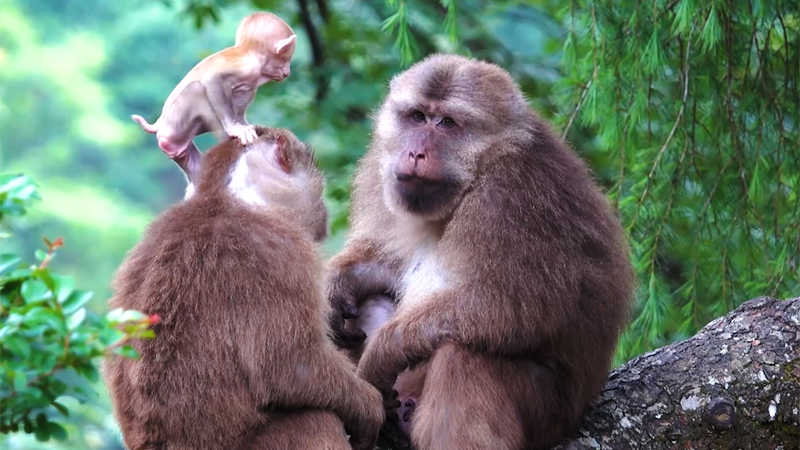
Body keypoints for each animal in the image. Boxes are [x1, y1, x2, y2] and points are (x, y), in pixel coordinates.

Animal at [103, 125, 384, 450]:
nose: (324, 211)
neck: (222, 199)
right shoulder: (278, 251)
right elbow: (290, 366)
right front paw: (369, 409)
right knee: (315, 419)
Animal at [131, 12, 296, 185]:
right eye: (288, 57)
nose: (288, 71)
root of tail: (160, 123)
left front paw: (246, 125)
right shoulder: (246, 68)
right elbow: (213, 80)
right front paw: (237, 129)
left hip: (176, 144)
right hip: (176, 125)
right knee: (197, 90)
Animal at [326, 53, 636, 450]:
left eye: (447, 123)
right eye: (417, 117)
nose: (415, 152)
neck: (474, 176)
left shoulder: (508, 200)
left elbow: (509, 305)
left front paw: (383, 352)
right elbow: (385, 264)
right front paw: (340, 281)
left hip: (550, 414)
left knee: (463, 354)